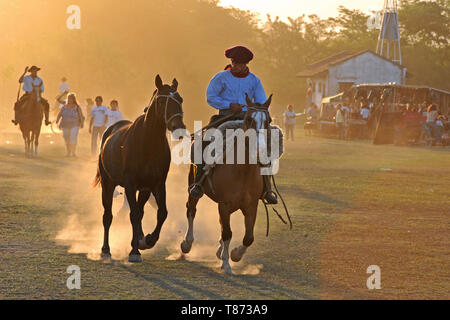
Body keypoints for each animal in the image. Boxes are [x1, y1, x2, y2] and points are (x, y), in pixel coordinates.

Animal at [93, 75, 186, 262]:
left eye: (179, 99)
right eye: (162, 101)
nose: (178, 126)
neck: (148, 142)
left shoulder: (156, 184)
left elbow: (161, 213)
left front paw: (147, 240)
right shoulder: (130, 184)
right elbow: (133, 214)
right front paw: (135, 251)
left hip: (143, 189)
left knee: (140, 211)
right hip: (108, 184)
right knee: (108, 215)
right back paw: (106, 249)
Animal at [179, 94, 278, 274]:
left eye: (268, 120)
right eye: (249, 119)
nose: (260, 150)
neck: (242, 172)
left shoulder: (251, 206)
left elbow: (248, 237)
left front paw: (235, 254)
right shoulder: (224, 205)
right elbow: (227, 233)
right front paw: (226, 263)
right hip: (193, 186)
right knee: (191, 210)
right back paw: (187, 243)